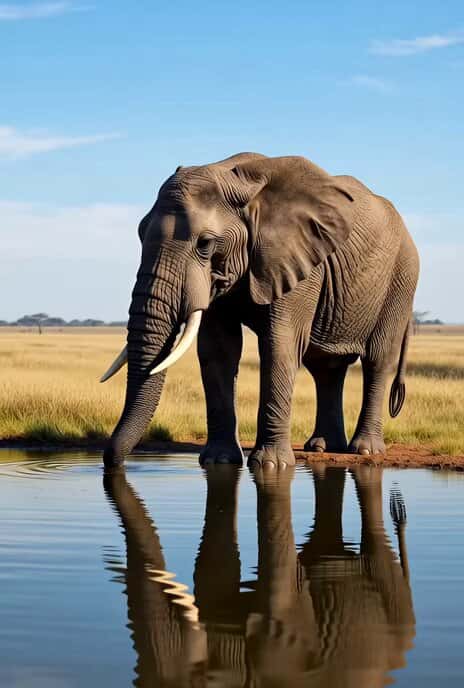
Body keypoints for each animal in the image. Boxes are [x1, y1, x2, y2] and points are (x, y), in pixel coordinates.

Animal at [101, 153, 419, 467]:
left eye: (205, 244)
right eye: (140, 233)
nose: (111, 461)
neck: (241, 183)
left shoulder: (297, 263)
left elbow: (279, 345)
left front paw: (270, 465)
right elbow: (218, 349)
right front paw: (219, 461)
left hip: (400, 279)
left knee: (378, 360)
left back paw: (364, 451)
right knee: (326, 367)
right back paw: (322, 447)